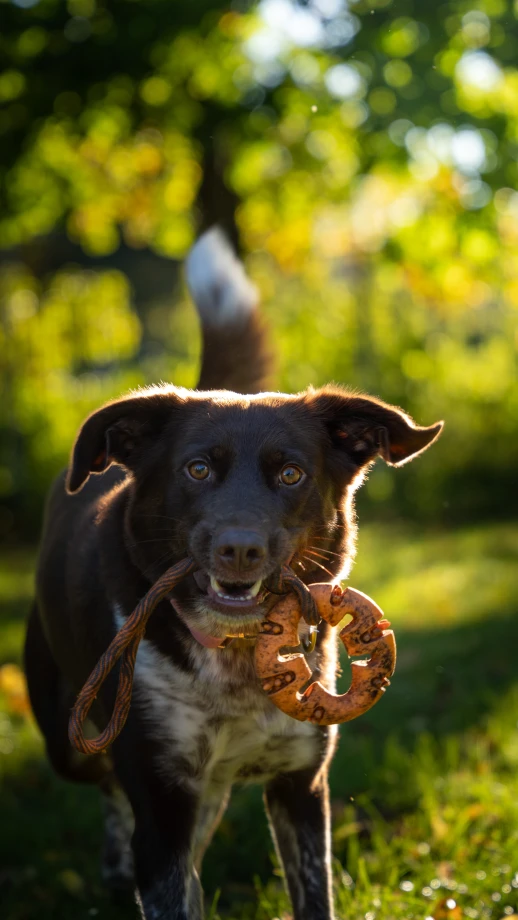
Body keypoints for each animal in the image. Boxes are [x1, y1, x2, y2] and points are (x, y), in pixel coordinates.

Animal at [24, 226, 444, 916]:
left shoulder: (302, 785)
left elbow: (312, 890)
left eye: (291, 473)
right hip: (67, 735)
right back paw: (114, 863)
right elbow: (164, 871)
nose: (239, 550)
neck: (238, 664)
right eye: (197, 469)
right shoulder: (161, 800)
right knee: (105, 786)